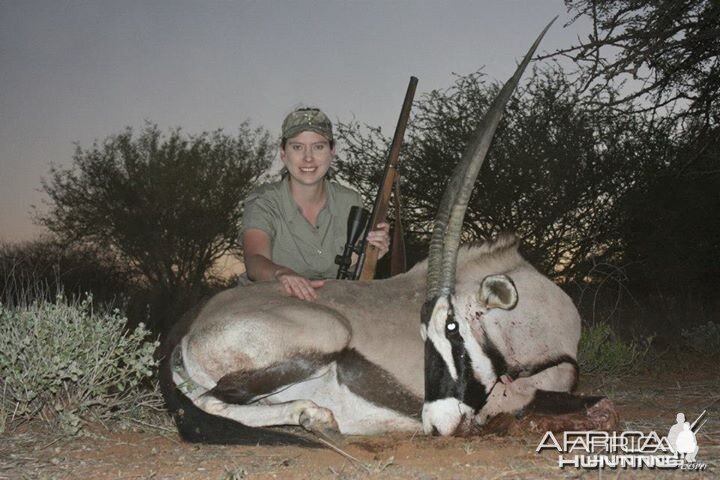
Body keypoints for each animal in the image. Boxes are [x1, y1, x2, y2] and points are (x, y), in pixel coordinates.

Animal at [160, 20, 616, 444]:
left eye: (452, 329)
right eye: (428, 335)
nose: (437, 422)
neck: (540, 314)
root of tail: (190, 322)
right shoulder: (509, 396)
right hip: (326, 334)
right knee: (210, 400)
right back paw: (316, 416)